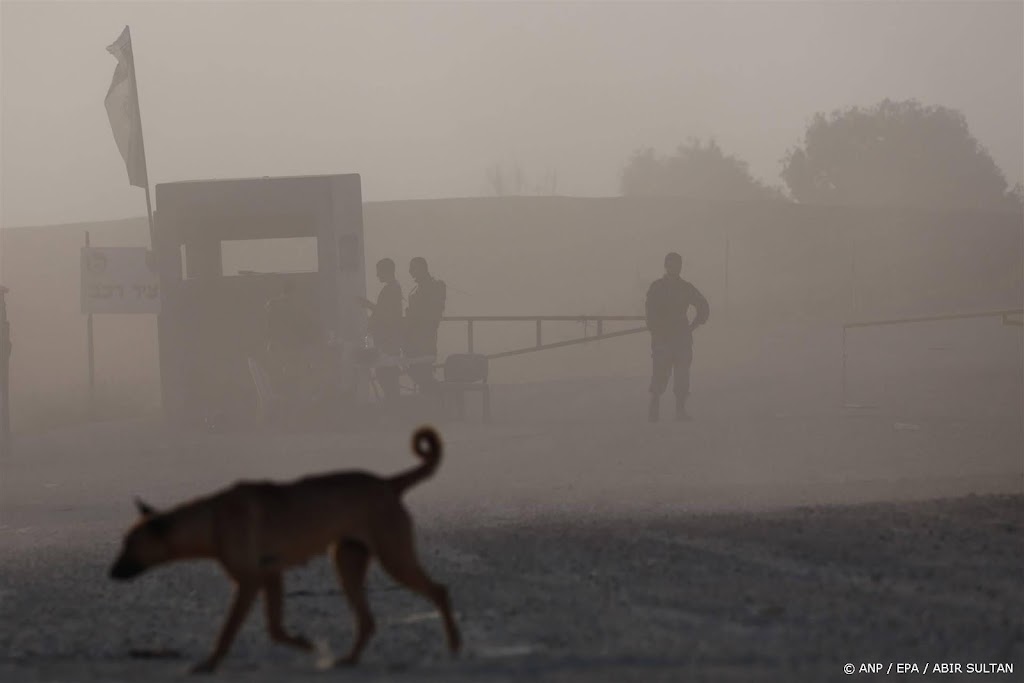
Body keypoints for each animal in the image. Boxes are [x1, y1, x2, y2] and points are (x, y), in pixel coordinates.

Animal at [111, 428, 460, 671]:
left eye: (129, 544)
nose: (110, 573)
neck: (211, 518)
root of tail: (388, 483)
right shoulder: (271, 575)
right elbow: (276, 629)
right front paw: (308, 646)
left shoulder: (250, 582)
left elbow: (228, 631)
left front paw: (209, 665)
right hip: (347, 563)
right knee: (367, 620)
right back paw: (348, 659)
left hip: (394, 559)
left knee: (440, 591)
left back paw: (455, 646)